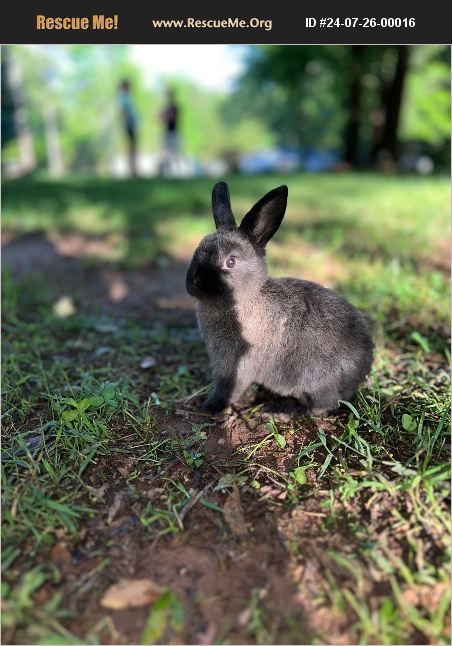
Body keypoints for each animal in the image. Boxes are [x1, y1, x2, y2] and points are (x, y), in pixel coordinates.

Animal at [186, 181, 373, 415]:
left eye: (231, 262)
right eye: (197, 251)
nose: (193, 282)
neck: (245, 299)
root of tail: (362, 369)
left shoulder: (237, 365)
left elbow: (229, 389)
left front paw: (210, 407)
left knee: (323, 406)